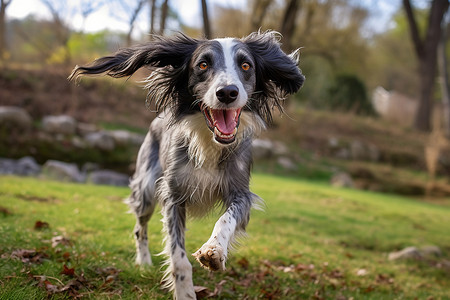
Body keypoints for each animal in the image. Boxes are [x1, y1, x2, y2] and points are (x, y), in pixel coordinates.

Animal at [68, 31, 304, 298]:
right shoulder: (173, 196)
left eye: (246, 66)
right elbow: (178, 256)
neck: (208, 142)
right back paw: (144, 262)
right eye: (203, 65)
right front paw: (185, 291)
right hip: (146, 189)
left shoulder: (241, 193)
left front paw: (214, 250)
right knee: (140, 228)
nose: (227, 92)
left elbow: (226, 219)